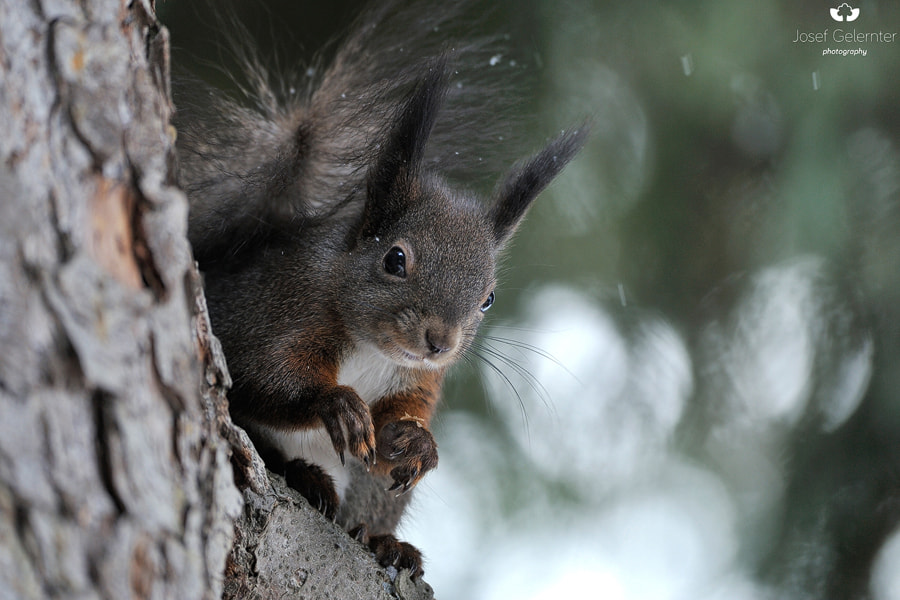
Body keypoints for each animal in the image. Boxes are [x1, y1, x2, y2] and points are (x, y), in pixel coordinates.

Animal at [173, 0, 587, 579]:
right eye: (395, 259)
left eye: (488, 298)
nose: (440, 341)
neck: (373, 349)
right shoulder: (277, 310)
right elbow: (263, 376)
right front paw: (339, 404)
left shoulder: (419, 379)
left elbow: (408, 416)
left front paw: (417, 442)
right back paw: (307, 476)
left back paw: (386, 543)